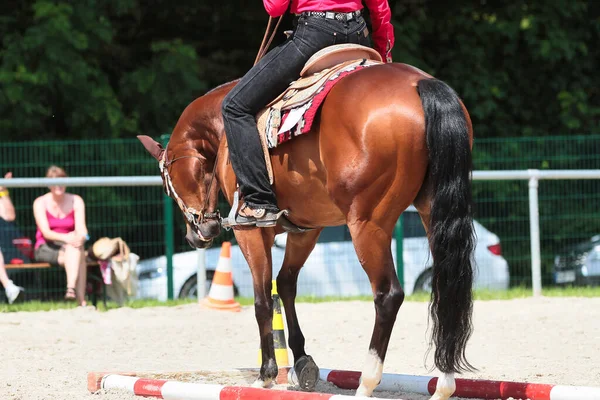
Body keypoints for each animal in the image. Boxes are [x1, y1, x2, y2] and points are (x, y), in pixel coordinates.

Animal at [138, 61, 476, 398]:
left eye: (167, 183)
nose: (197, 233)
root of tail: (418, 84)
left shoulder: (250, 233)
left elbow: (262, 300)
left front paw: (266, 374)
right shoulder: (306, 229)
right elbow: (286, 284)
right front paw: (301, 362)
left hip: (367, 224)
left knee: (388, 295)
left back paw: (366, 383)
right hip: (432, 212)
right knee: (447, 288)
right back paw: (444, 384)